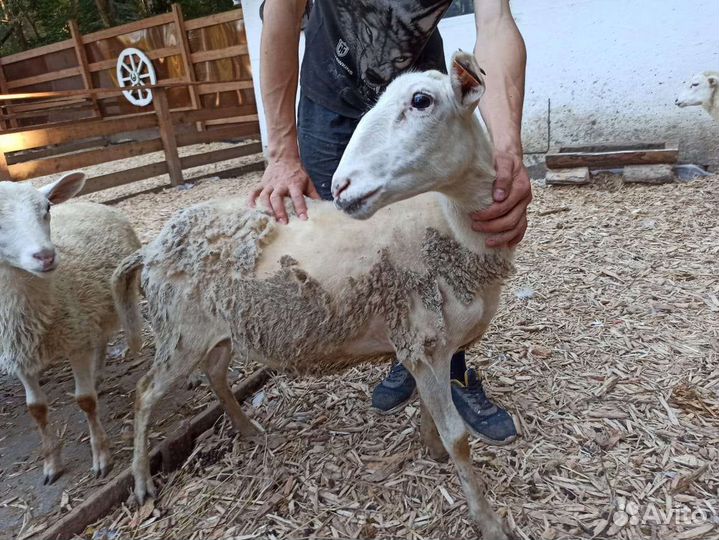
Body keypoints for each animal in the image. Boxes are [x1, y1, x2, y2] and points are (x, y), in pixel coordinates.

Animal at [0, 172, 141, 484]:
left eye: (47, 209)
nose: (45, 256)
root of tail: (90, 202)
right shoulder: (19, 355)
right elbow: (36, 409)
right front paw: (51, 464)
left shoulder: (75, 340)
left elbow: (85, 401)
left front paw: (101, 458)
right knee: (99, 340)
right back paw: (97, 375)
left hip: (117, 295)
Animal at [113, 51, 514, 539]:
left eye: (422, 100)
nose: (340, 187)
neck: (452, 227)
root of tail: (150, 248)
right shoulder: (425, 341)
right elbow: (459, 438)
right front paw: (487, 519)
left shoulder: (425, 345)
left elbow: (431, 413)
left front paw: (430, 448)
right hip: (180, 332)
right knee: (145, 394)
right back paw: (141, 482)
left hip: (219, 329)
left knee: (215, 374)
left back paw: (249, 429)